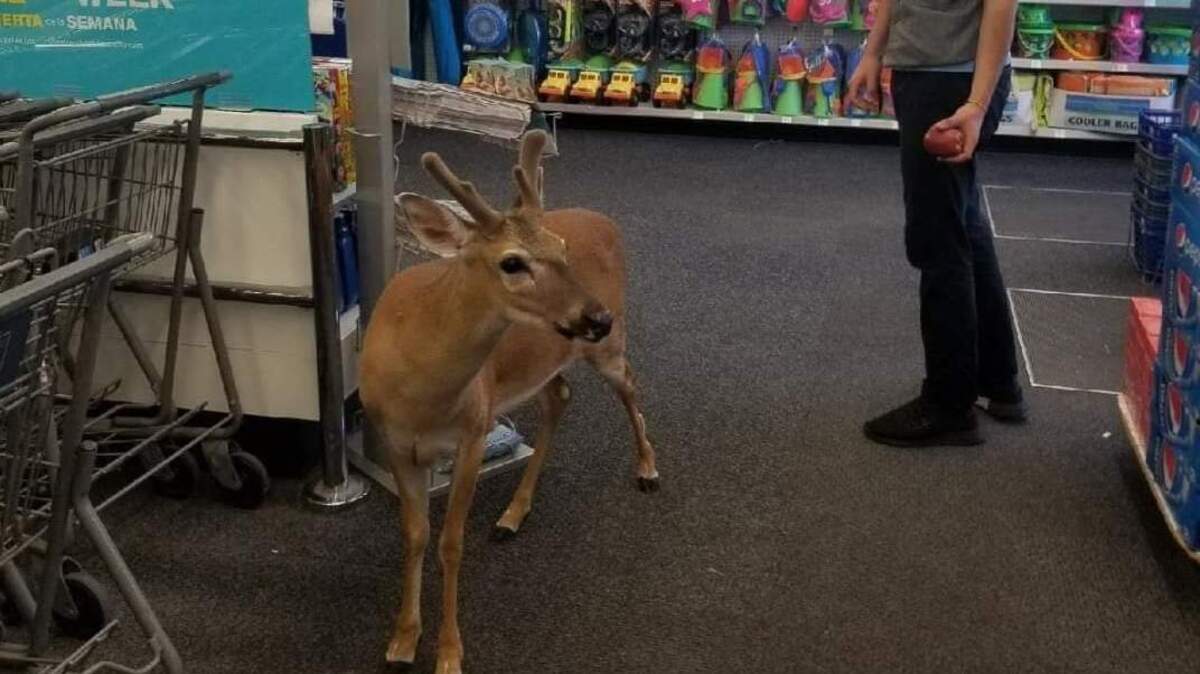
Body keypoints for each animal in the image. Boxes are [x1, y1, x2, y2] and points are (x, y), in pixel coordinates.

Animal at [358, 130, 660, 674]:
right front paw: (402, 641)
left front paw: (449, 653)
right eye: (512, 261)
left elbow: (451, 543)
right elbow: (414, 535)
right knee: (560, 396)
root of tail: (604, 219)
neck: (420, 392)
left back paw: (647, 468)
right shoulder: (395, 443)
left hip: (609, 346)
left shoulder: (474, 431)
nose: (597, 316)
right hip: (546, 359)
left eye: (560, 249)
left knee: (629, 383)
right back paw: (513, 515)